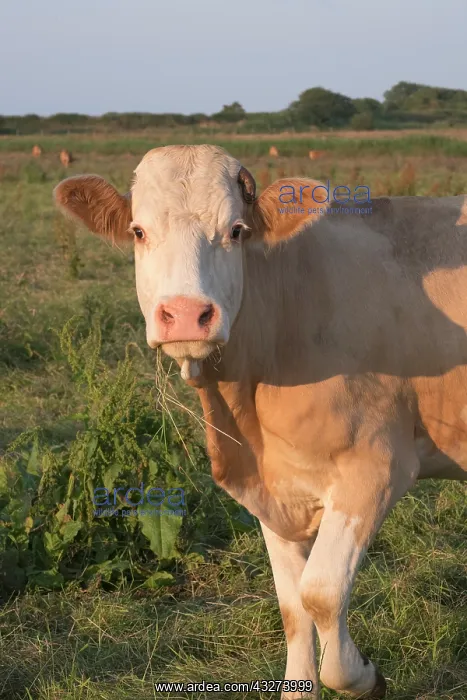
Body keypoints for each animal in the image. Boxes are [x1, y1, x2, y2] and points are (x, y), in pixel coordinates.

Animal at [54, 144, 467, 699]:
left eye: (236, 230)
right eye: (139, 231)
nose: (186, 315)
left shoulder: (376, 467)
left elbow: (321, 594)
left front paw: (366, 676)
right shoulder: (272, 484)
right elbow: (293, 609)